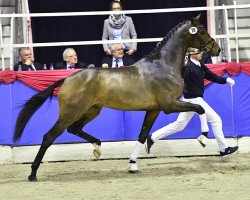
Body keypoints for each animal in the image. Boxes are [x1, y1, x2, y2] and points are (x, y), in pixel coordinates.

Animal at [14, 14, 221, 181]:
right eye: (202, 30)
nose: (217, 49)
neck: (163, 66)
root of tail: (67, 78)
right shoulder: (169, 105)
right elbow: (200, 108)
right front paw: (203, 138)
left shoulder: (153, 109)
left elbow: (143, 135)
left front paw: (132, 165)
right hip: (70, 113)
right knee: (49, 137)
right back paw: (33, 173)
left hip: (92, 110)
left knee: (75, 129)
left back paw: (97, 147)